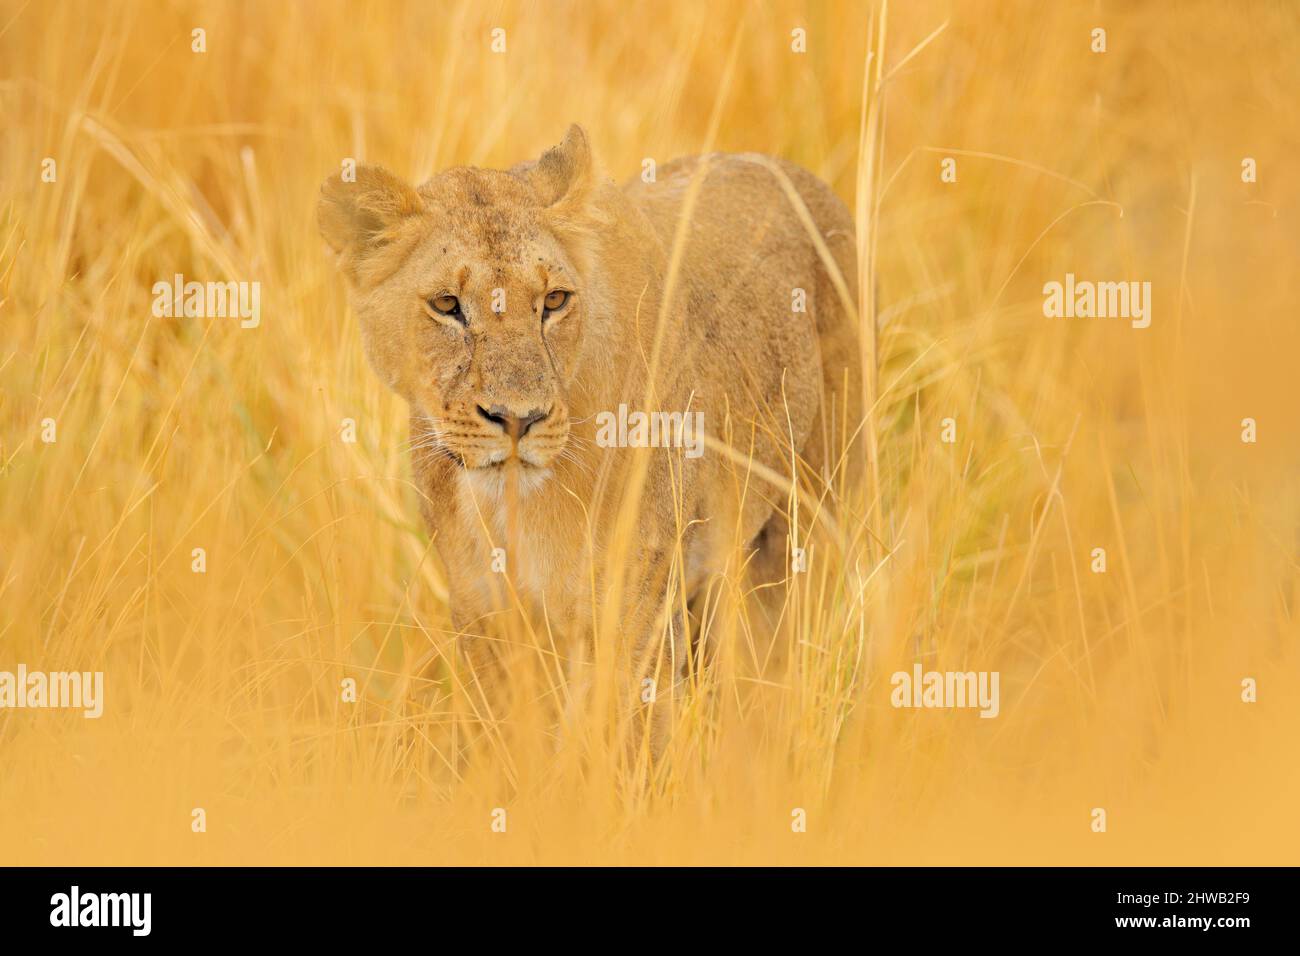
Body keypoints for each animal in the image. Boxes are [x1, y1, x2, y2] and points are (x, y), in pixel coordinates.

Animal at [318, 125, 859, 757]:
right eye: (447, 306)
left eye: (553, 301)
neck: (508, 506)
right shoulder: (483, 613)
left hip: (812, 519)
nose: (518, 419)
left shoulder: (633, 610)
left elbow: (620, 746)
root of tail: (781, 165)